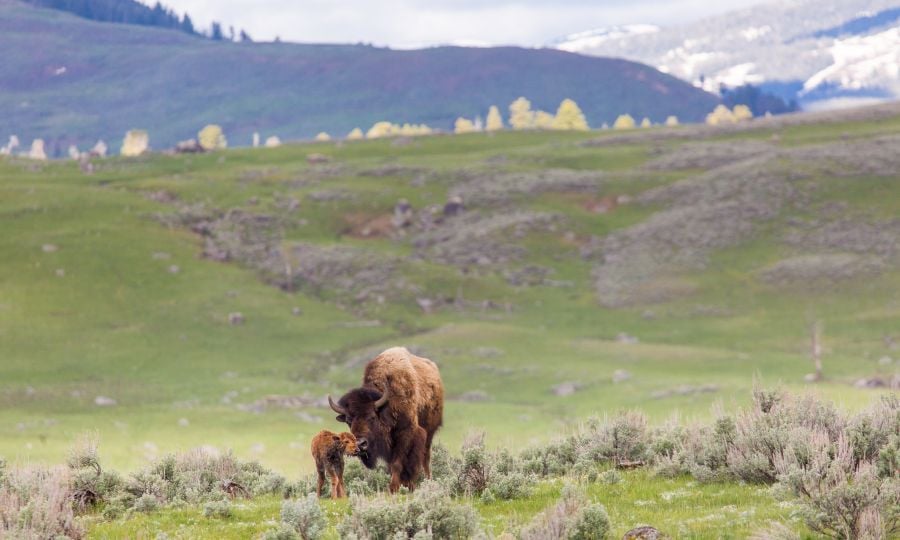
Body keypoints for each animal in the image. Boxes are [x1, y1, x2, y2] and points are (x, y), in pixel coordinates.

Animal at [329, 347, 444, 492]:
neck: (386, 405)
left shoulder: (405, 434)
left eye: (372, 417)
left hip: (429, 432)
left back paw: (427, 480)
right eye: (349, 420)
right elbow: (392, 464)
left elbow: (398, 463)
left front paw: (394, 488)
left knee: (425, 457)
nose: (360, 444)